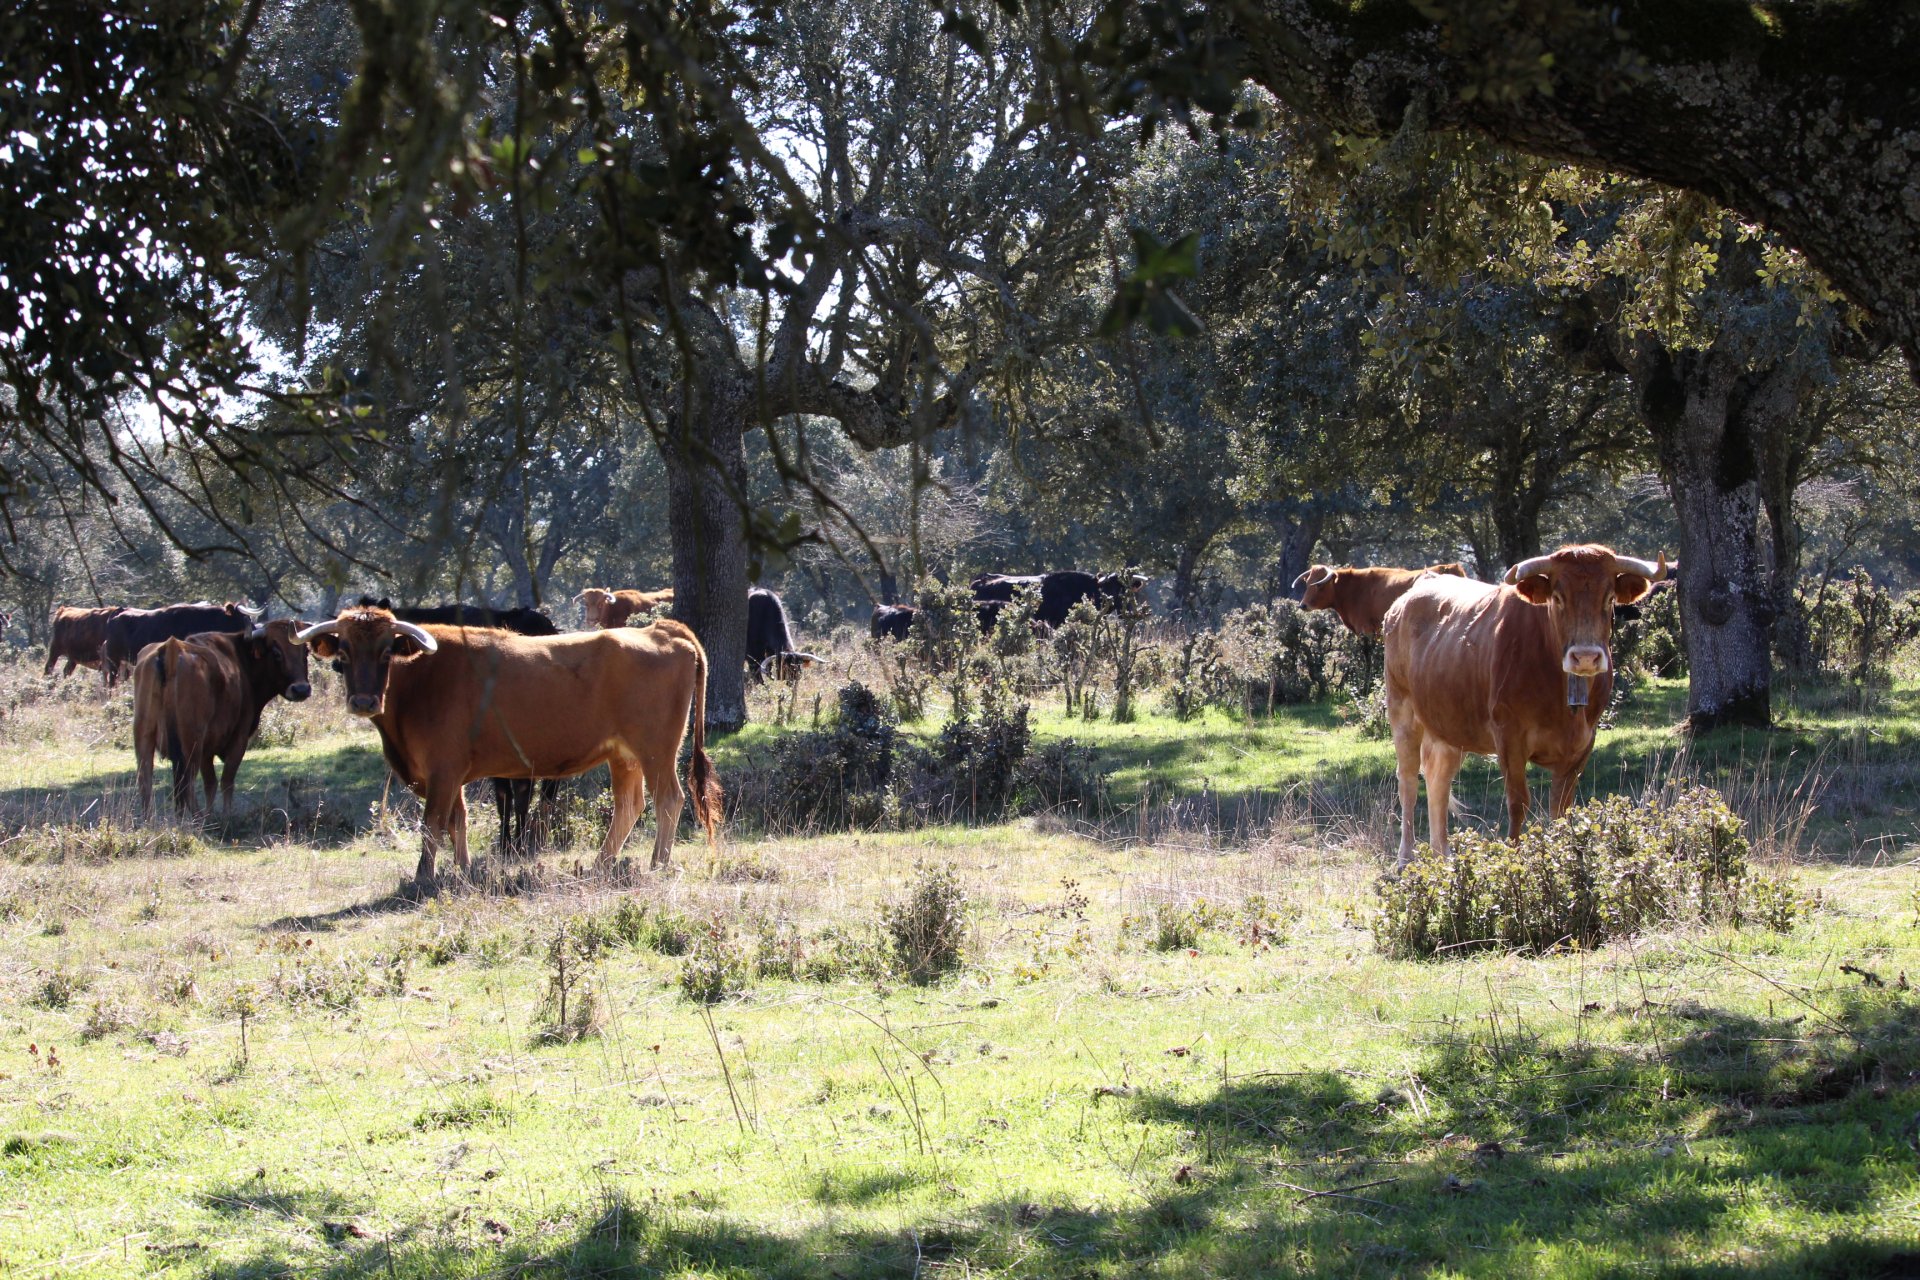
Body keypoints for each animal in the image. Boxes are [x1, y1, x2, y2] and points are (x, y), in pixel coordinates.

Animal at [133, 620, 314, 816]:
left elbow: (210, 783)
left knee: (146, 782)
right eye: (276, 652)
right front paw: (227, 815)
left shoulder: (207, 750)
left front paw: (211, 814)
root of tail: (172, 648)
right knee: (187, 784)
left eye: (306, 651)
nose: (301, 689)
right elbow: (226, 780)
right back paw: (196, 817)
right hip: (191, 744)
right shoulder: (238, 739)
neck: (241, 660)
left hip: (145, 739)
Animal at [1381, 545, 1667, 869]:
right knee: (1408, 780)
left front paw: (1564, 860)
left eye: (1609, 599)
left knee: (1437, 780)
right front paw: (1515, 862)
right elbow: (1518, 803)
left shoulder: (1582, 745)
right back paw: (1405, 858)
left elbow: (1561, 809)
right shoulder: (1510, 738)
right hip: (1402, 710)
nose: (1585, 657)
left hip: (1448, 725)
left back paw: (1444, 857)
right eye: (1558, 597)